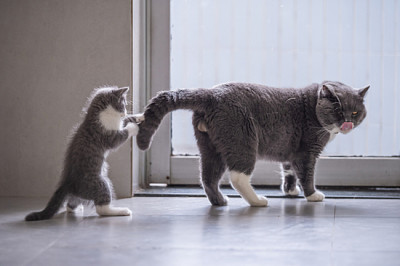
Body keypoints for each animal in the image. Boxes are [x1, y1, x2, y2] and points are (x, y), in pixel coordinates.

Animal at [25, 87, 138, 220]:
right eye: (123, 105)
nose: (124, 113)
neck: (97, 113)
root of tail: (68, 182)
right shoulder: (106, 135)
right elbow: (120, 135)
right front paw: (133, 127)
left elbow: (125, 121)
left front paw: (138, 117)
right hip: (99, 183)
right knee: (101, 208)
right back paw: (120, 211)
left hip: (81, 193)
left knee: (71, 203)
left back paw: (76, 208)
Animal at [130, 80, 368, 207]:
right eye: (338, 110)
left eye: (355, 112)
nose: (347, 122)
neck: (312, 107)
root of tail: (211, 94)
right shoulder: (307, 151)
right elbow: (306, 174)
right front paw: (312, 195)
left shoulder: (290, 153)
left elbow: (289, 170)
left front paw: (290, 191)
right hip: (242, 140)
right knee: (237, 176)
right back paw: (258, 200)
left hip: (210, 146)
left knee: (208, 177)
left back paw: (220, 201)